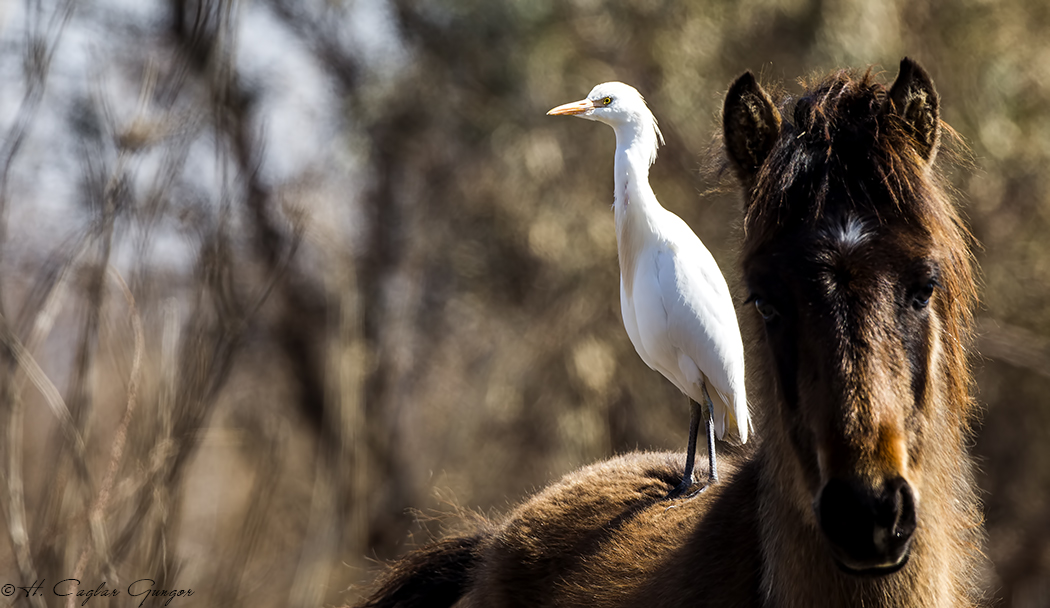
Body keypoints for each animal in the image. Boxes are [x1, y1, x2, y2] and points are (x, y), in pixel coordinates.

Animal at [359, 60, 982, 608]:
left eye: (603, 101)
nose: (569, 108)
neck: (643, 241)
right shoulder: (669, 365)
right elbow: (688, 409)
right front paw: (684, 483)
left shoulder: (695, 359)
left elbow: (701, 407)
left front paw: (703, 481)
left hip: (728, 387)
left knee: (717, 409)